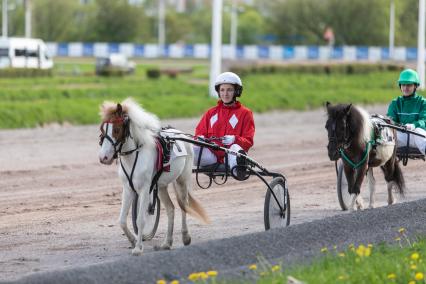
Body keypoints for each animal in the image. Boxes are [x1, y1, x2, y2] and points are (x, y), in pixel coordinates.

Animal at [97, 97, 210, 255]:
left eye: (116, 129)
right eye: (102, 129)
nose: (104, 158)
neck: (134, 155)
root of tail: (180, 134)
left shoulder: (145, 188)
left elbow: (140, 219)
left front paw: (138, 247)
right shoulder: (128, 188)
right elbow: (122, 220)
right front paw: (133, 240)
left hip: (182, 180)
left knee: (184, 205)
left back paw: (186, 237)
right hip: (161, 186)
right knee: (170, 209)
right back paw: (167, 243)